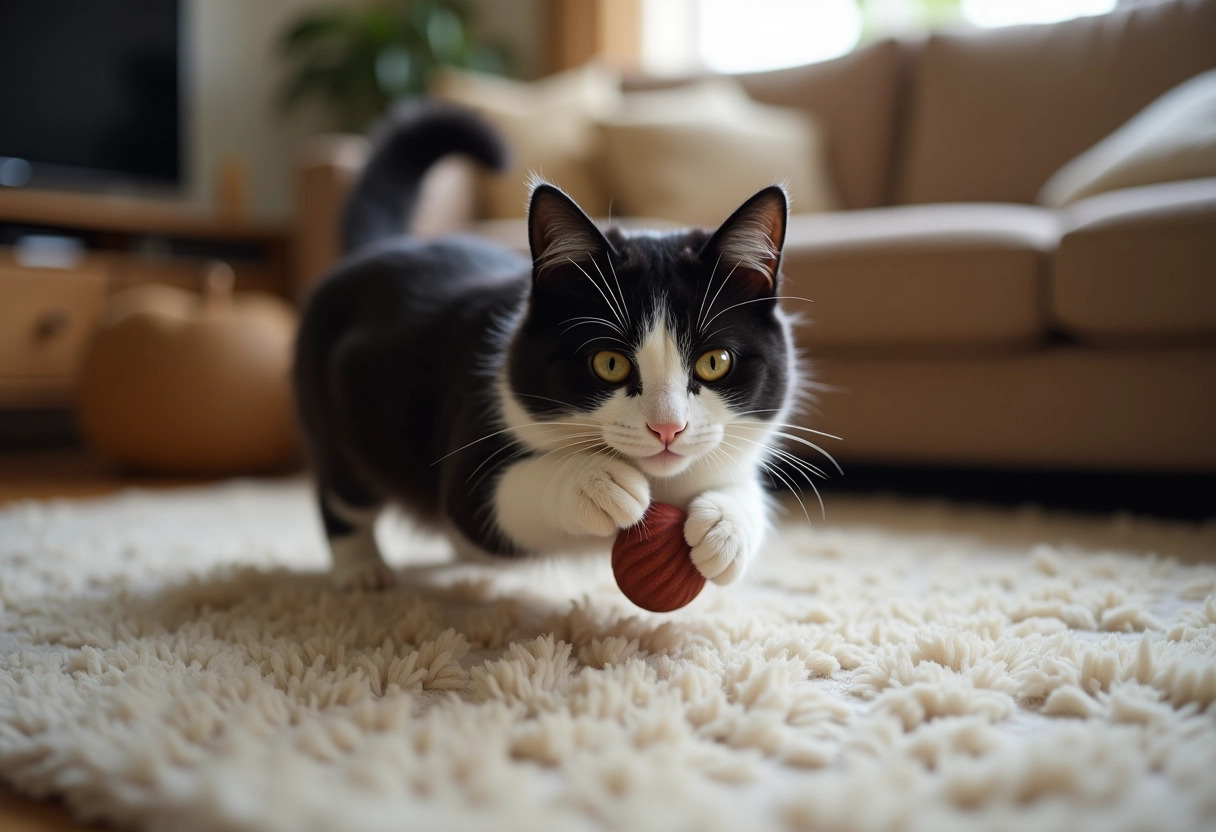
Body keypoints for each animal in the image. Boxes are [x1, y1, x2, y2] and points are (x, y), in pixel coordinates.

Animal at [291, 100, 817, 588]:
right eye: (608, 363)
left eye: (715, 362)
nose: (667, 429)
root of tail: (379, 247)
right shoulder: (472, 434)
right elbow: (488, 500)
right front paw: (594, 482)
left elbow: (738, 481)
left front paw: (726, 528)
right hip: (333, 400)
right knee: (342, 489)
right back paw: (362, 569)